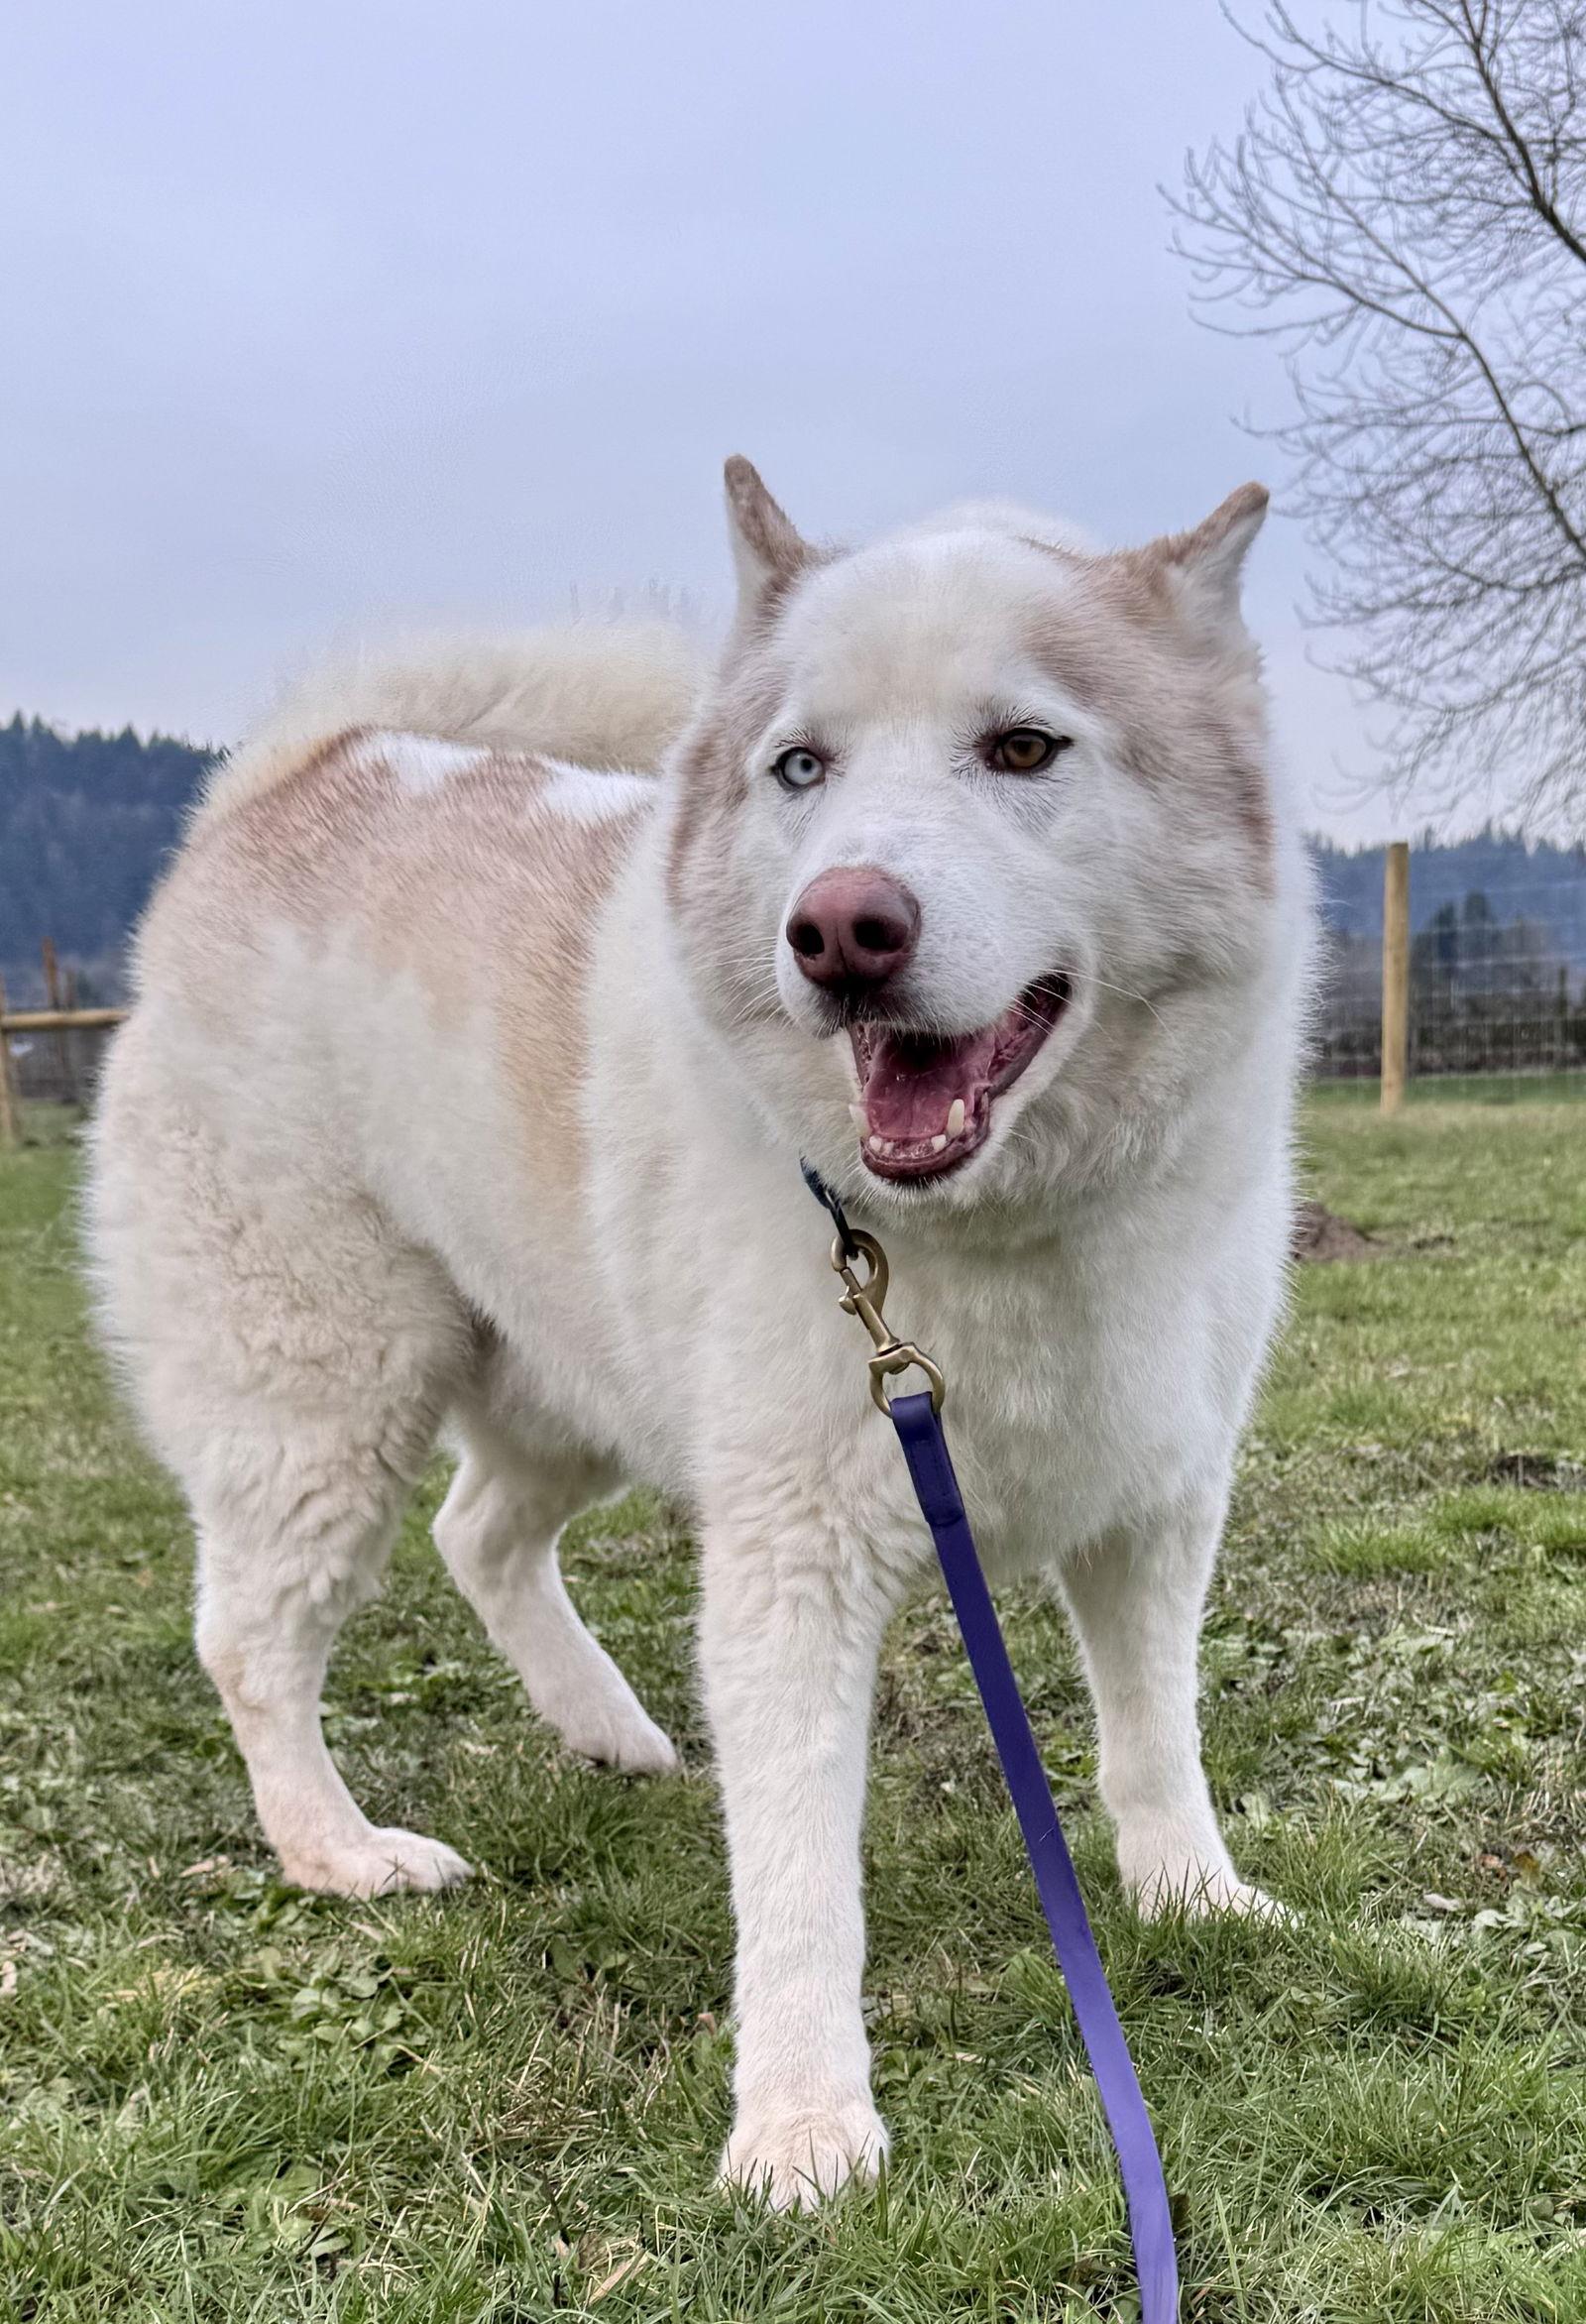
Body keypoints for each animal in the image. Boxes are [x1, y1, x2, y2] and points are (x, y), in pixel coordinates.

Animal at [87, 460, 1312, 2207]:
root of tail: (305, 778)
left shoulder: (1153, 1502)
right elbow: (800, 1878)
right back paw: (342, 1853)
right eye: (801, 766)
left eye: (1024, 748)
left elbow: (1157, 1739)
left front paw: (1194, 1896)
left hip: (566, 1386)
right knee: (254, 1644)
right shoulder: (792, 1565)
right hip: (326, 1403)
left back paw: (608, 1730)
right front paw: (802, 2124)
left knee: (478, 1535)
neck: (996, 1231)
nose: (842, 928)